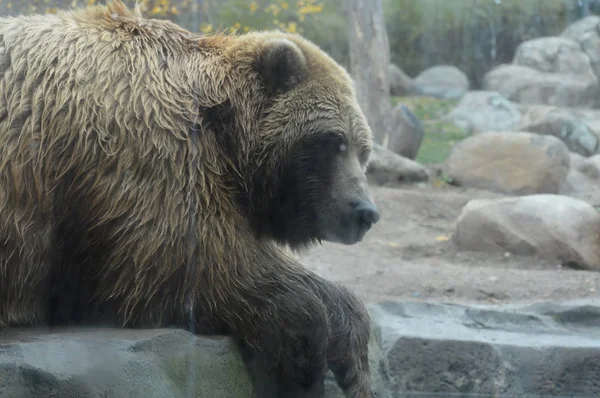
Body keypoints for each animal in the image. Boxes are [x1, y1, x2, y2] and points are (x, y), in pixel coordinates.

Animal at [0, 1, 382, 396]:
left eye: (363, 150)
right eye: (333, 141)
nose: (364, 211)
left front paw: (353, 359)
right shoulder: (146, 146)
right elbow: (190, 263)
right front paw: (306, 357)